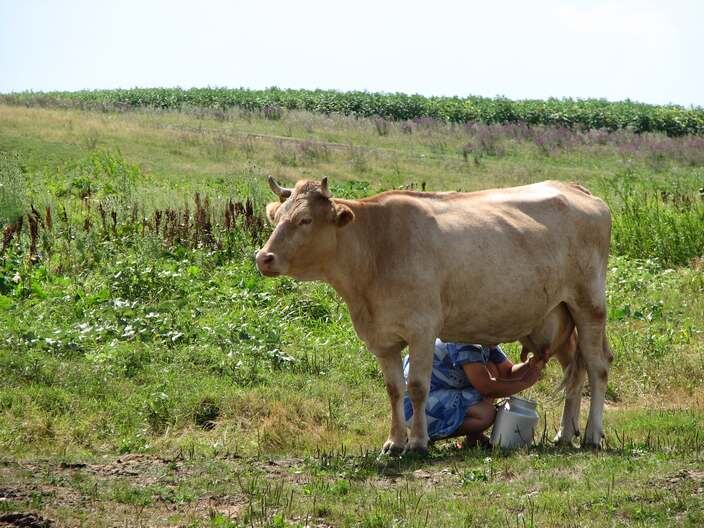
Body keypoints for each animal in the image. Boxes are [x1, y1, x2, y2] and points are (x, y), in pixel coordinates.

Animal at [256, 178, 612, 454]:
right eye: (277, 218)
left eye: (304, 220)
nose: (263, 257)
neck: (375, 249)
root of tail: (575, 188)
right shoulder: (381, 339)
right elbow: (394, 389)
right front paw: (394, 442)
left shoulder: (422, 330)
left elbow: (417, 387)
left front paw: (417, 442)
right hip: (559, 314)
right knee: (574, 369)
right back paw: (565, 433)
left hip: (589, 304)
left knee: (598, 366)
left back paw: (592, 435)